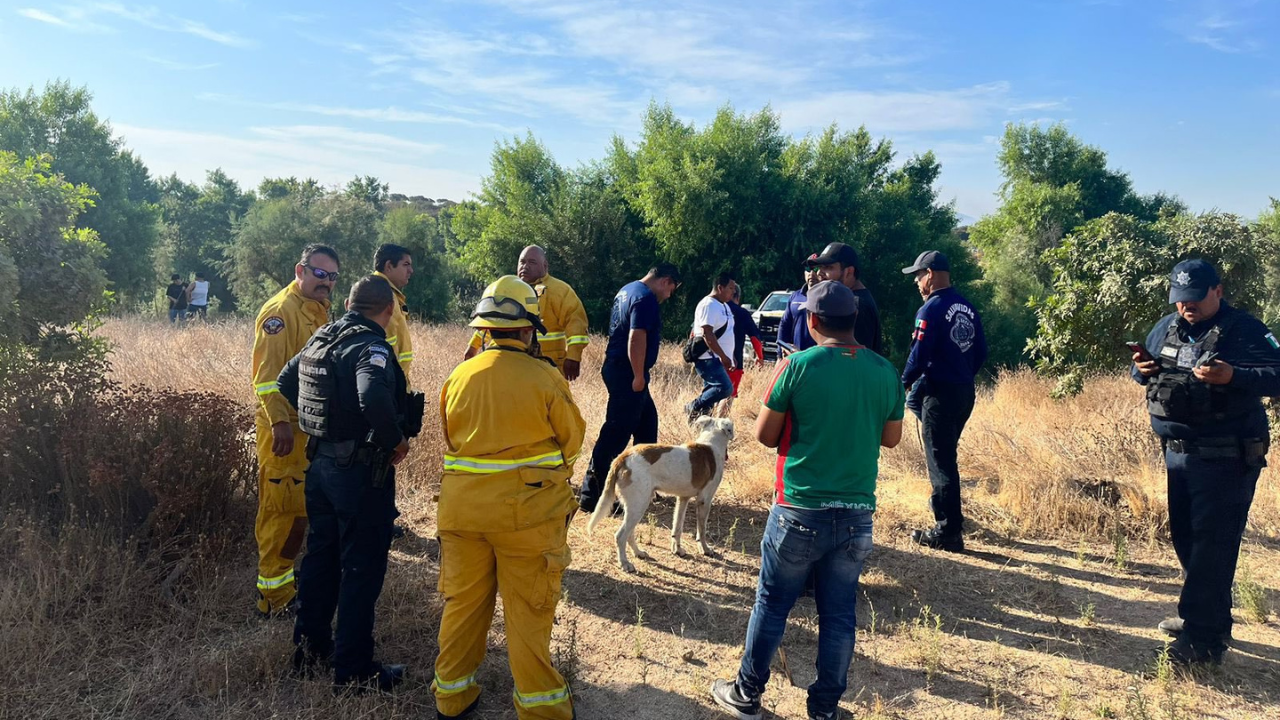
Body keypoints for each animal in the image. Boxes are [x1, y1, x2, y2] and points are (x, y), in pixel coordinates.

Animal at [586, 415, 737, 571]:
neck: (710, 443)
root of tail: (623, 457)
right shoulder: (704, 500)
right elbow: (701, 530)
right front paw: (705, 549)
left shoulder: (682, 499)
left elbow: (677, 528)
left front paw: (677, 550)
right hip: (639, 505)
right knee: (620, 536)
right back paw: (625, 563)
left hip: (635, 506)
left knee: (629, 534)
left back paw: (638, 553)